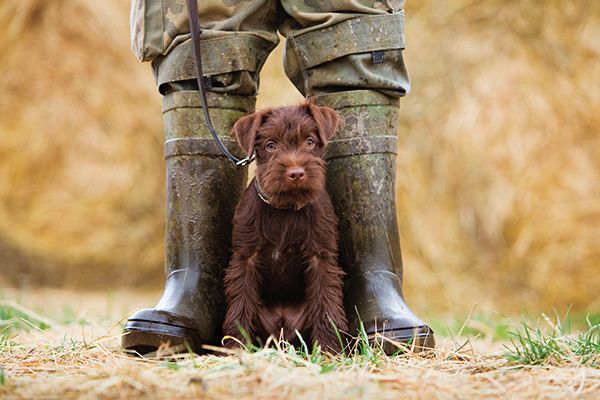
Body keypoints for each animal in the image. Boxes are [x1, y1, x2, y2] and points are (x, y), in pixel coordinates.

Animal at [223, 101, 350, 354]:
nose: (296, 173)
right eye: (271, 145)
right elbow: (240, 304)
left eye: (309, 141)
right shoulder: (246, 259)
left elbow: (326, 304)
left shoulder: (320, 258)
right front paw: (235, 348)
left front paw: (328, 351)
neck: (286, 208)